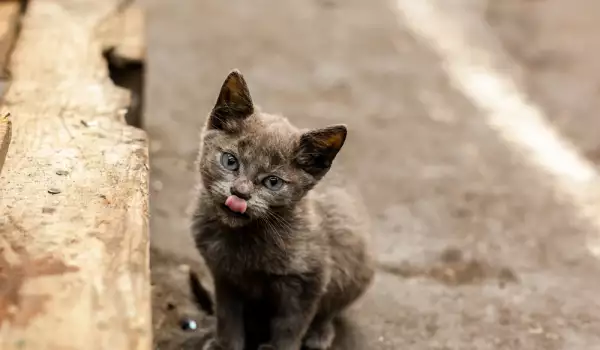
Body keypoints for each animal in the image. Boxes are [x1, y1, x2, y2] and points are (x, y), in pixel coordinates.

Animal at [191, 69, 376, 348]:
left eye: (273, 182)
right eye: (230, 161)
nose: (240, 193)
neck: (243, 241)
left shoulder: (309, 280)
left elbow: (291, 324)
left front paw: (279, 346)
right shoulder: (223, 275)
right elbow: (227, 315)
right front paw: (225, 344)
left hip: (356, 269)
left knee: (330, 311)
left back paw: (319, 334)